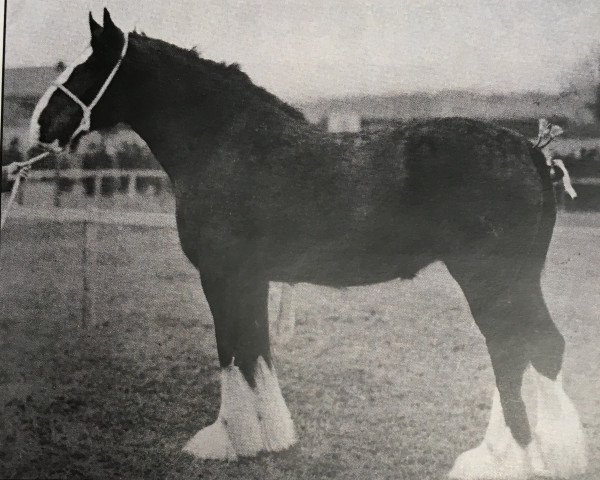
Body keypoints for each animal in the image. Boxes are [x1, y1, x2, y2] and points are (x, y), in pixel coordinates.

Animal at [30, 9, 588, 478]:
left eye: (87, 67)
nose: (40, 124)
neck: (225, 144)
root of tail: (530, 149)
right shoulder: (252, 278)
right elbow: (257, 349)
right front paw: (274, 436)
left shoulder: (222, 275)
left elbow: (231, 351)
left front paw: (230, 440)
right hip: (516, 280)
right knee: (521, 347)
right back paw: (504, 452)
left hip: (490, 279)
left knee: (525, 346)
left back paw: (523, 459)